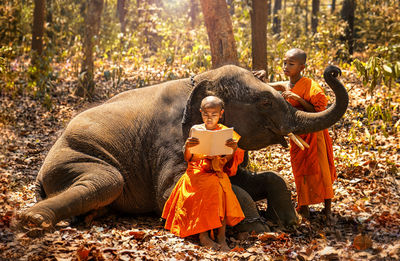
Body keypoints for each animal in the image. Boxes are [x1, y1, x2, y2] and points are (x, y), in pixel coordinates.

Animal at [20, 63, 348, 234]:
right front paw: (259, 230)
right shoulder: (173, 140)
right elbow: (171, 192)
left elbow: (256, 179)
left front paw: (290, 223)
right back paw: (33, 220)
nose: (334, 69)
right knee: (108, 180)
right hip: (74, 157)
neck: (203, 78)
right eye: (266, 102)